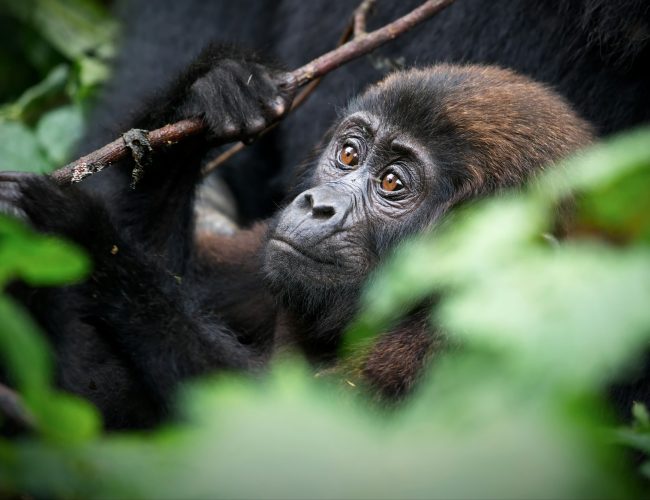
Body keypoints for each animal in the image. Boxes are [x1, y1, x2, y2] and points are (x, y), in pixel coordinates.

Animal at [0, 45, 592, 428]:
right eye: (349, 153)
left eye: (393, 183)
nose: (318, 205)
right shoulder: (264, 255)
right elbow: (96, 377)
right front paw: (210, 88)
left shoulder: (452, 344)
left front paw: (85, 236)